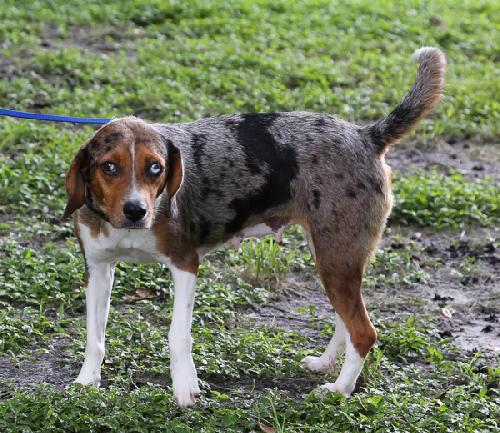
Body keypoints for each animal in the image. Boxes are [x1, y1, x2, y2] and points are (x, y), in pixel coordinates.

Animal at [63, 48, 446, 408]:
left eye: (155, 168)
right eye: (109, 167)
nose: (136, 211)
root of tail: (367, 136)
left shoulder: (185, 264)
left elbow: (178, 335)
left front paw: (185, 389)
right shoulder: (98, 269)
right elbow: (94, 337)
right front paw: (86, 382)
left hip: (336, 258)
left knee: (363, 332)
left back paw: (339, 389)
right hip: (334, 258)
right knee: (347, 323)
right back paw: (325, 365)